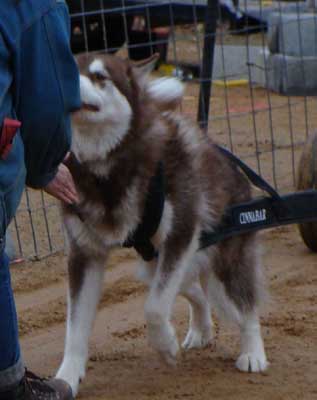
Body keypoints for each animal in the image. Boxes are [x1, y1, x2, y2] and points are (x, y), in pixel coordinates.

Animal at [56, 54, 266, 396]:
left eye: (100, 76)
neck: (107, 169)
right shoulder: (84, 255)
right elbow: (74, 328)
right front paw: (66, 378)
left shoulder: (181, 232)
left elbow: (154, 308)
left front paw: (165, 346)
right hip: (156, 264)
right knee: (194, 290)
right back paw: (201, 329)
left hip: (222, 263)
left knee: (245, 305)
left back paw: (253, 352)